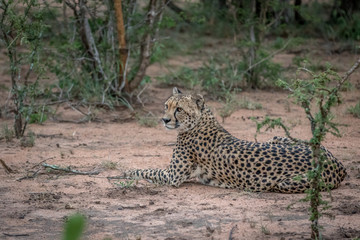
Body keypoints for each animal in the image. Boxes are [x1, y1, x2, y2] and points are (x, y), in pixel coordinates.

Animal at [125, 87, 348, 192]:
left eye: (178, 109)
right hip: (276, 137)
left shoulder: (173, 176)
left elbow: (146, 170)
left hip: (283, 183)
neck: (199, 121)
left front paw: (125, 172)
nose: (164, 120)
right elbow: (148, 169)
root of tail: (337, 163)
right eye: (166, 106)